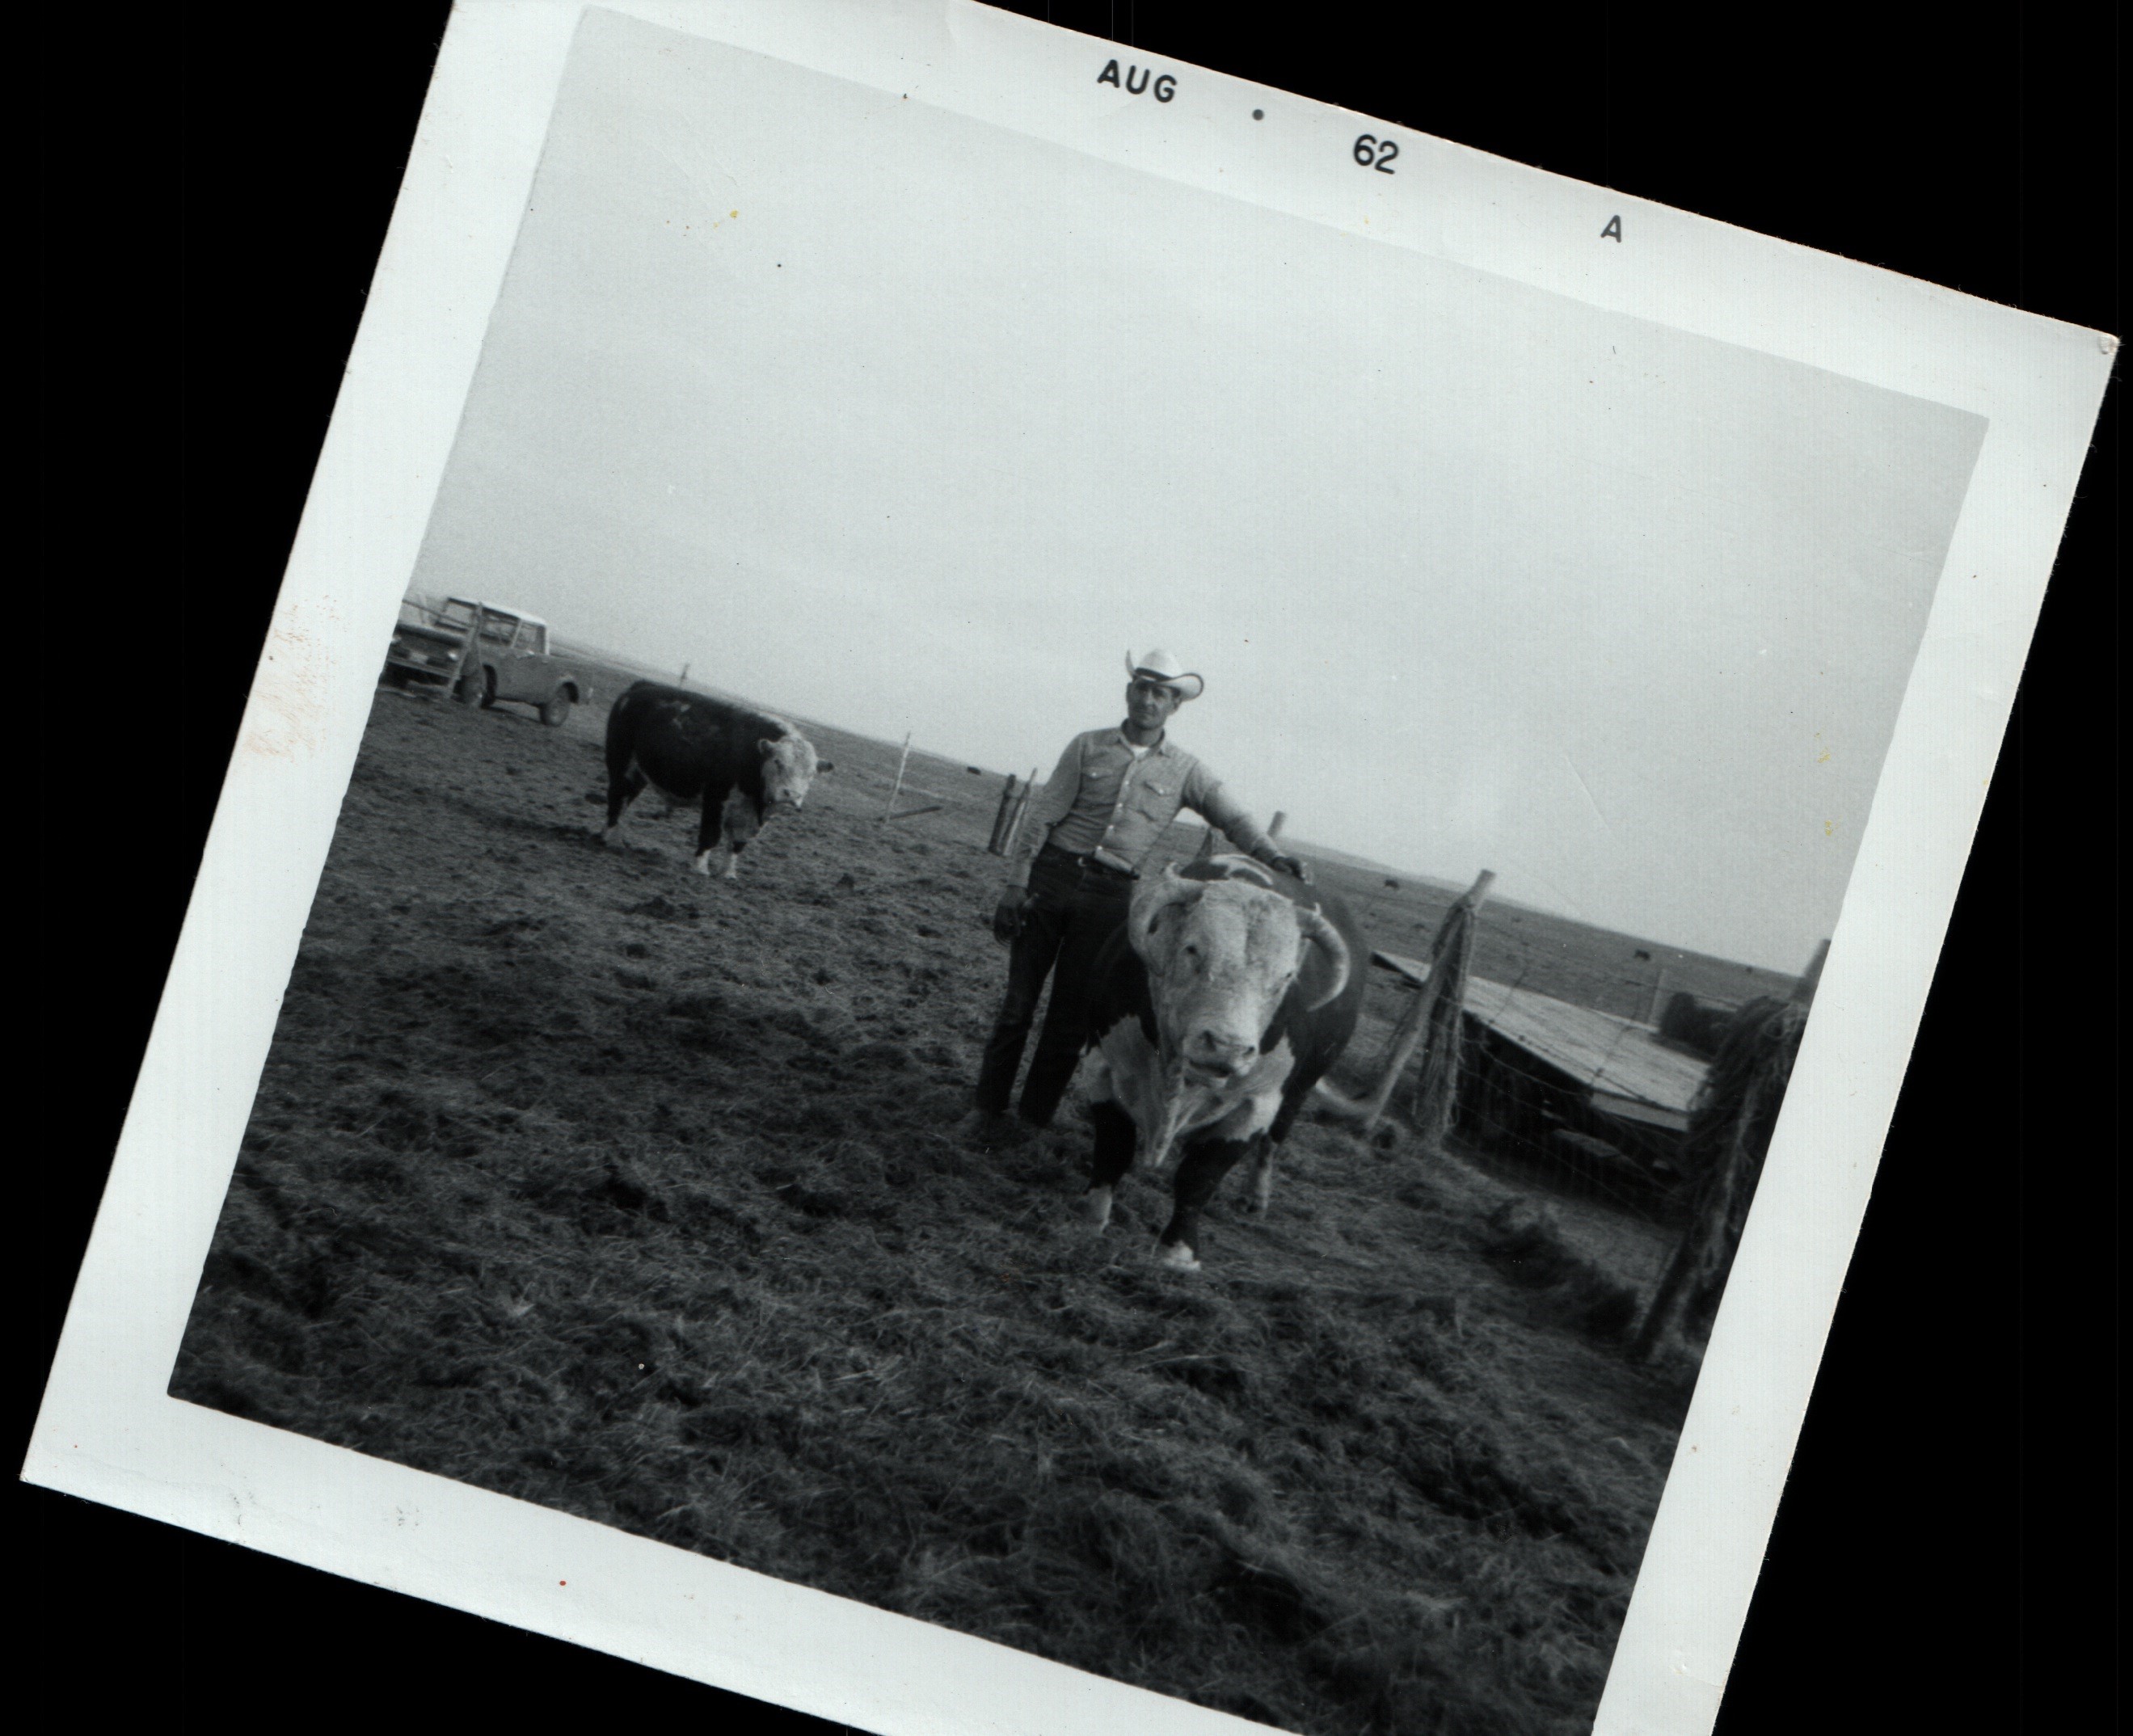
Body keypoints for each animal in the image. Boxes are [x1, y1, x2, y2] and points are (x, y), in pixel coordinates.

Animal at [609, 678, 832, 879]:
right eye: (778, 762)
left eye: (811, 774)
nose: (791, 795)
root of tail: (642, 687)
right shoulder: (715, 799)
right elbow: (710, 835)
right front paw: (700, 869)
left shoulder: (750, 818)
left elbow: (737, 844)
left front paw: (728, 874)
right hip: (621, 762)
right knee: (617, 797)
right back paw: (610, 839)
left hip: (639, 773)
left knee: (625, 800)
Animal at [1083, 862, 1364, 1270]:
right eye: (1192, 949)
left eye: (1286, 976)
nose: (1228, 1047)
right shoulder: (1103, 1067)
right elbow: (1112, 1149)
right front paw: (1092, 1219)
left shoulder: (1254, 1107)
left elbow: (1199, 1178)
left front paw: (1178, 1252)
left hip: (1301, 1089)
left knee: (1273, 1142)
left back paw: (1255, 1197)